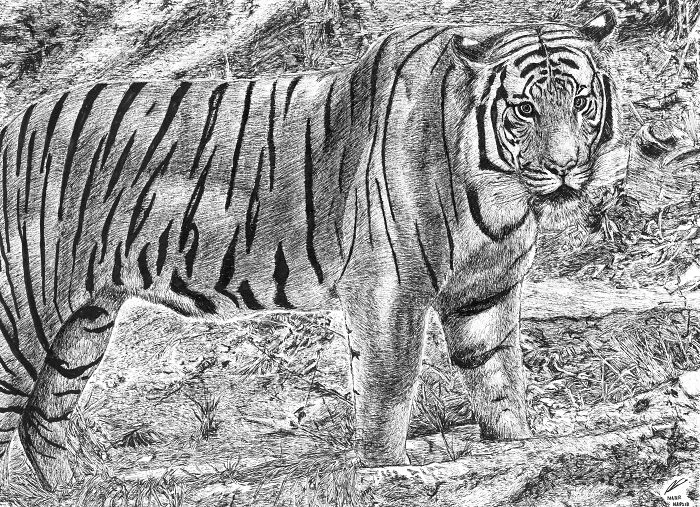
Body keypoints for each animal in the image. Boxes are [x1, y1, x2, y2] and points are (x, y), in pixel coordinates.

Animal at [0, 8, 618, 490]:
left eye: (581, 101)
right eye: (525, 109)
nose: (567, 167)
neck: (501, 192)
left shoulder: (486, 291)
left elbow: (498, 374)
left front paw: (516, 442)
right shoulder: (390, 288)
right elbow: (389, 382)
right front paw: (386, 467)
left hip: (83, 326)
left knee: (43, 418)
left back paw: (82, 488)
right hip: (19, 319)